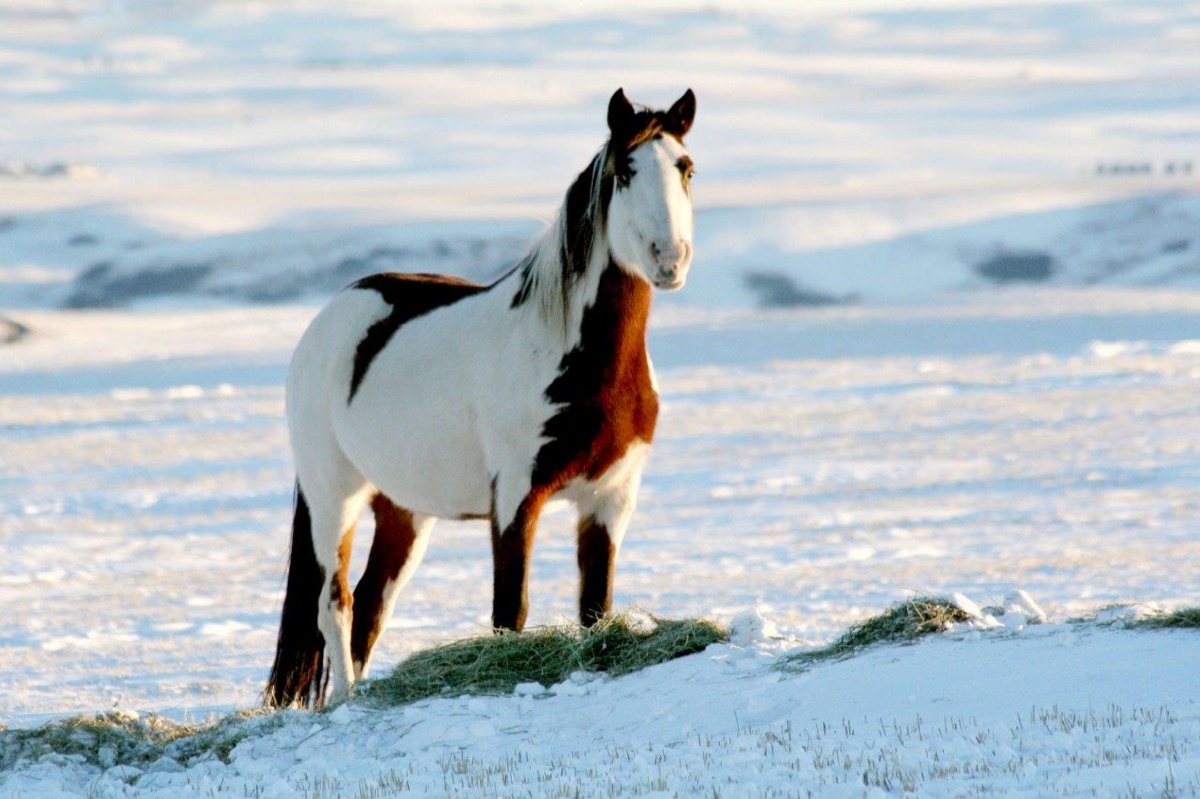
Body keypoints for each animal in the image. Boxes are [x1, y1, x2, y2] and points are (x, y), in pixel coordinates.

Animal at [266, 88, 697, 708]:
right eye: (625, 171)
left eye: (686, 168)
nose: (669, 259)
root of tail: (326, 322)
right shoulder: (516, 496)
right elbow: (509, 611)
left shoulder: (610, 499)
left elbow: (596, 609)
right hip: (333, 496)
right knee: (336, 603)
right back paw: (345, 701)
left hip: (403, 510)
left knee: (371, 605)